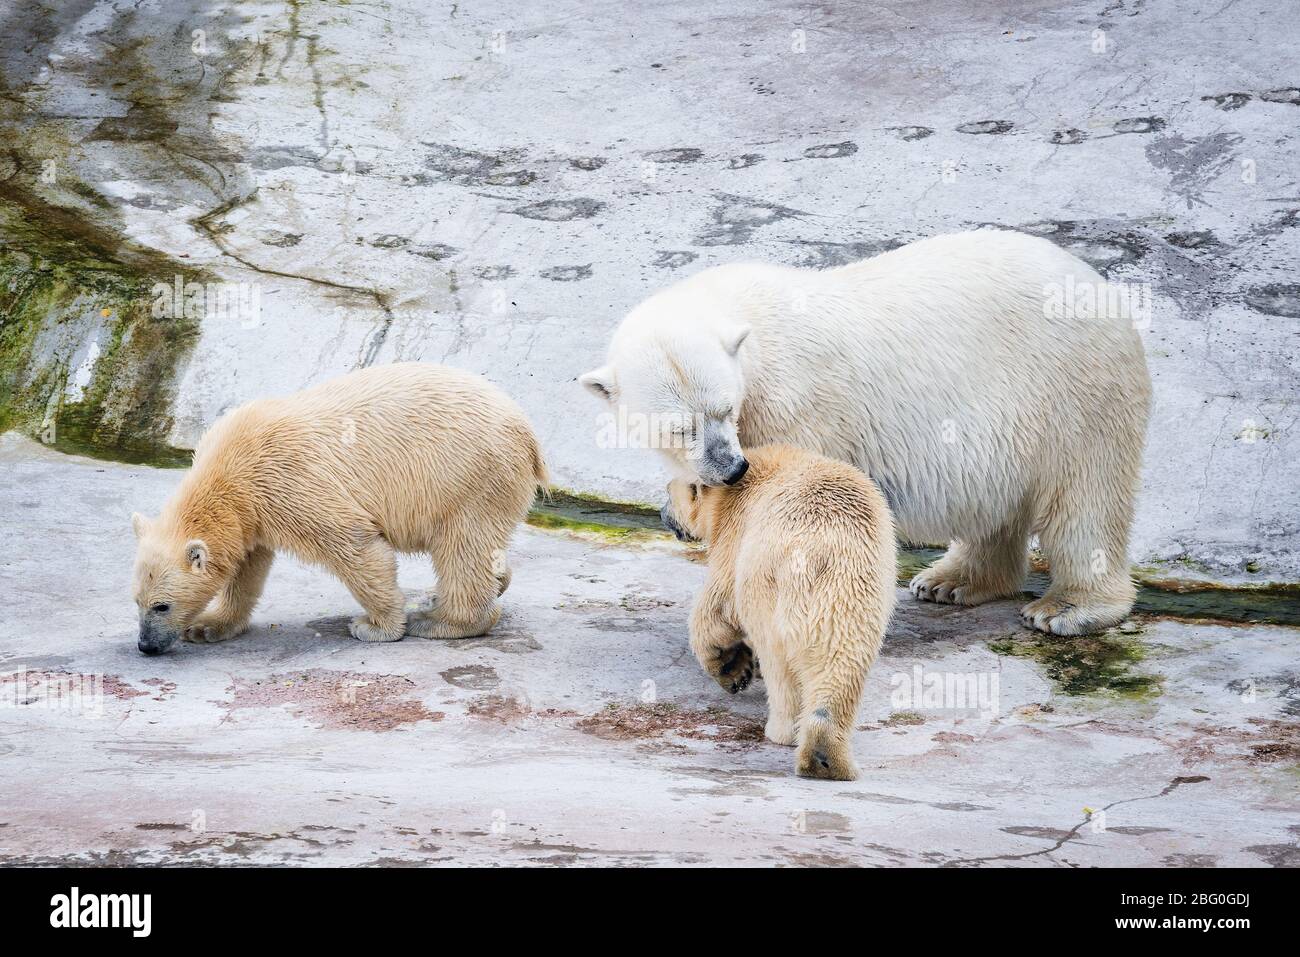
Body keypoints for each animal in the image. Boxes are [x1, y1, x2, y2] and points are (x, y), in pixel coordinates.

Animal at [131, 362, 546, 655]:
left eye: (161, 606)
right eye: (136, 601)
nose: (146, 645)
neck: (228, 471)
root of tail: (528, 433)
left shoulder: (286, 481)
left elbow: (355, 544)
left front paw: (376, 627)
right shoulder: (251, 512)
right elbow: (246, 567)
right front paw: (207, 627)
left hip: (466, 474)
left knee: (462, 544)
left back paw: (438, 621)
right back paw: (491, 582)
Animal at [581, 229, 1151, 636]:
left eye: (726, 408)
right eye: (680, 429)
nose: (732, 467)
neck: (748, 323)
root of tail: (1098, 285)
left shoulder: (795, 406)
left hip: (1073, 388)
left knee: (1085, 498)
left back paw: (1067, 609)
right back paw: (951, 580)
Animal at [662, 444, 897, 781]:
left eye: (669, 493)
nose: (663, 515)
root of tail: (812, 555)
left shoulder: (736, 530)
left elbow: (719, 606)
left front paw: (730, 668)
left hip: (767, 586)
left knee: (779, 664)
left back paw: (782, 730)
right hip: (854, 592)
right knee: (842, 659)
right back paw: (826, 757)